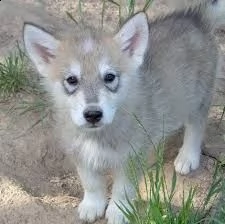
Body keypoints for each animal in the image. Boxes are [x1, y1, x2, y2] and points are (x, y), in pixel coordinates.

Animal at [22, 0, 225, 223]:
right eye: (72, 80)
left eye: (109, 77)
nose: (93, 114)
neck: (99, 137)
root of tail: (195, 18)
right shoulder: (80, 153)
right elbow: (91, 183)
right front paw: (92, 205)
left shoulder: (131, 158)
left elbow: (123, 189)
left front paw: (119, 211)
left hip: (198, 98)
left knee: (196, 125)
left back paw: (188, 156)